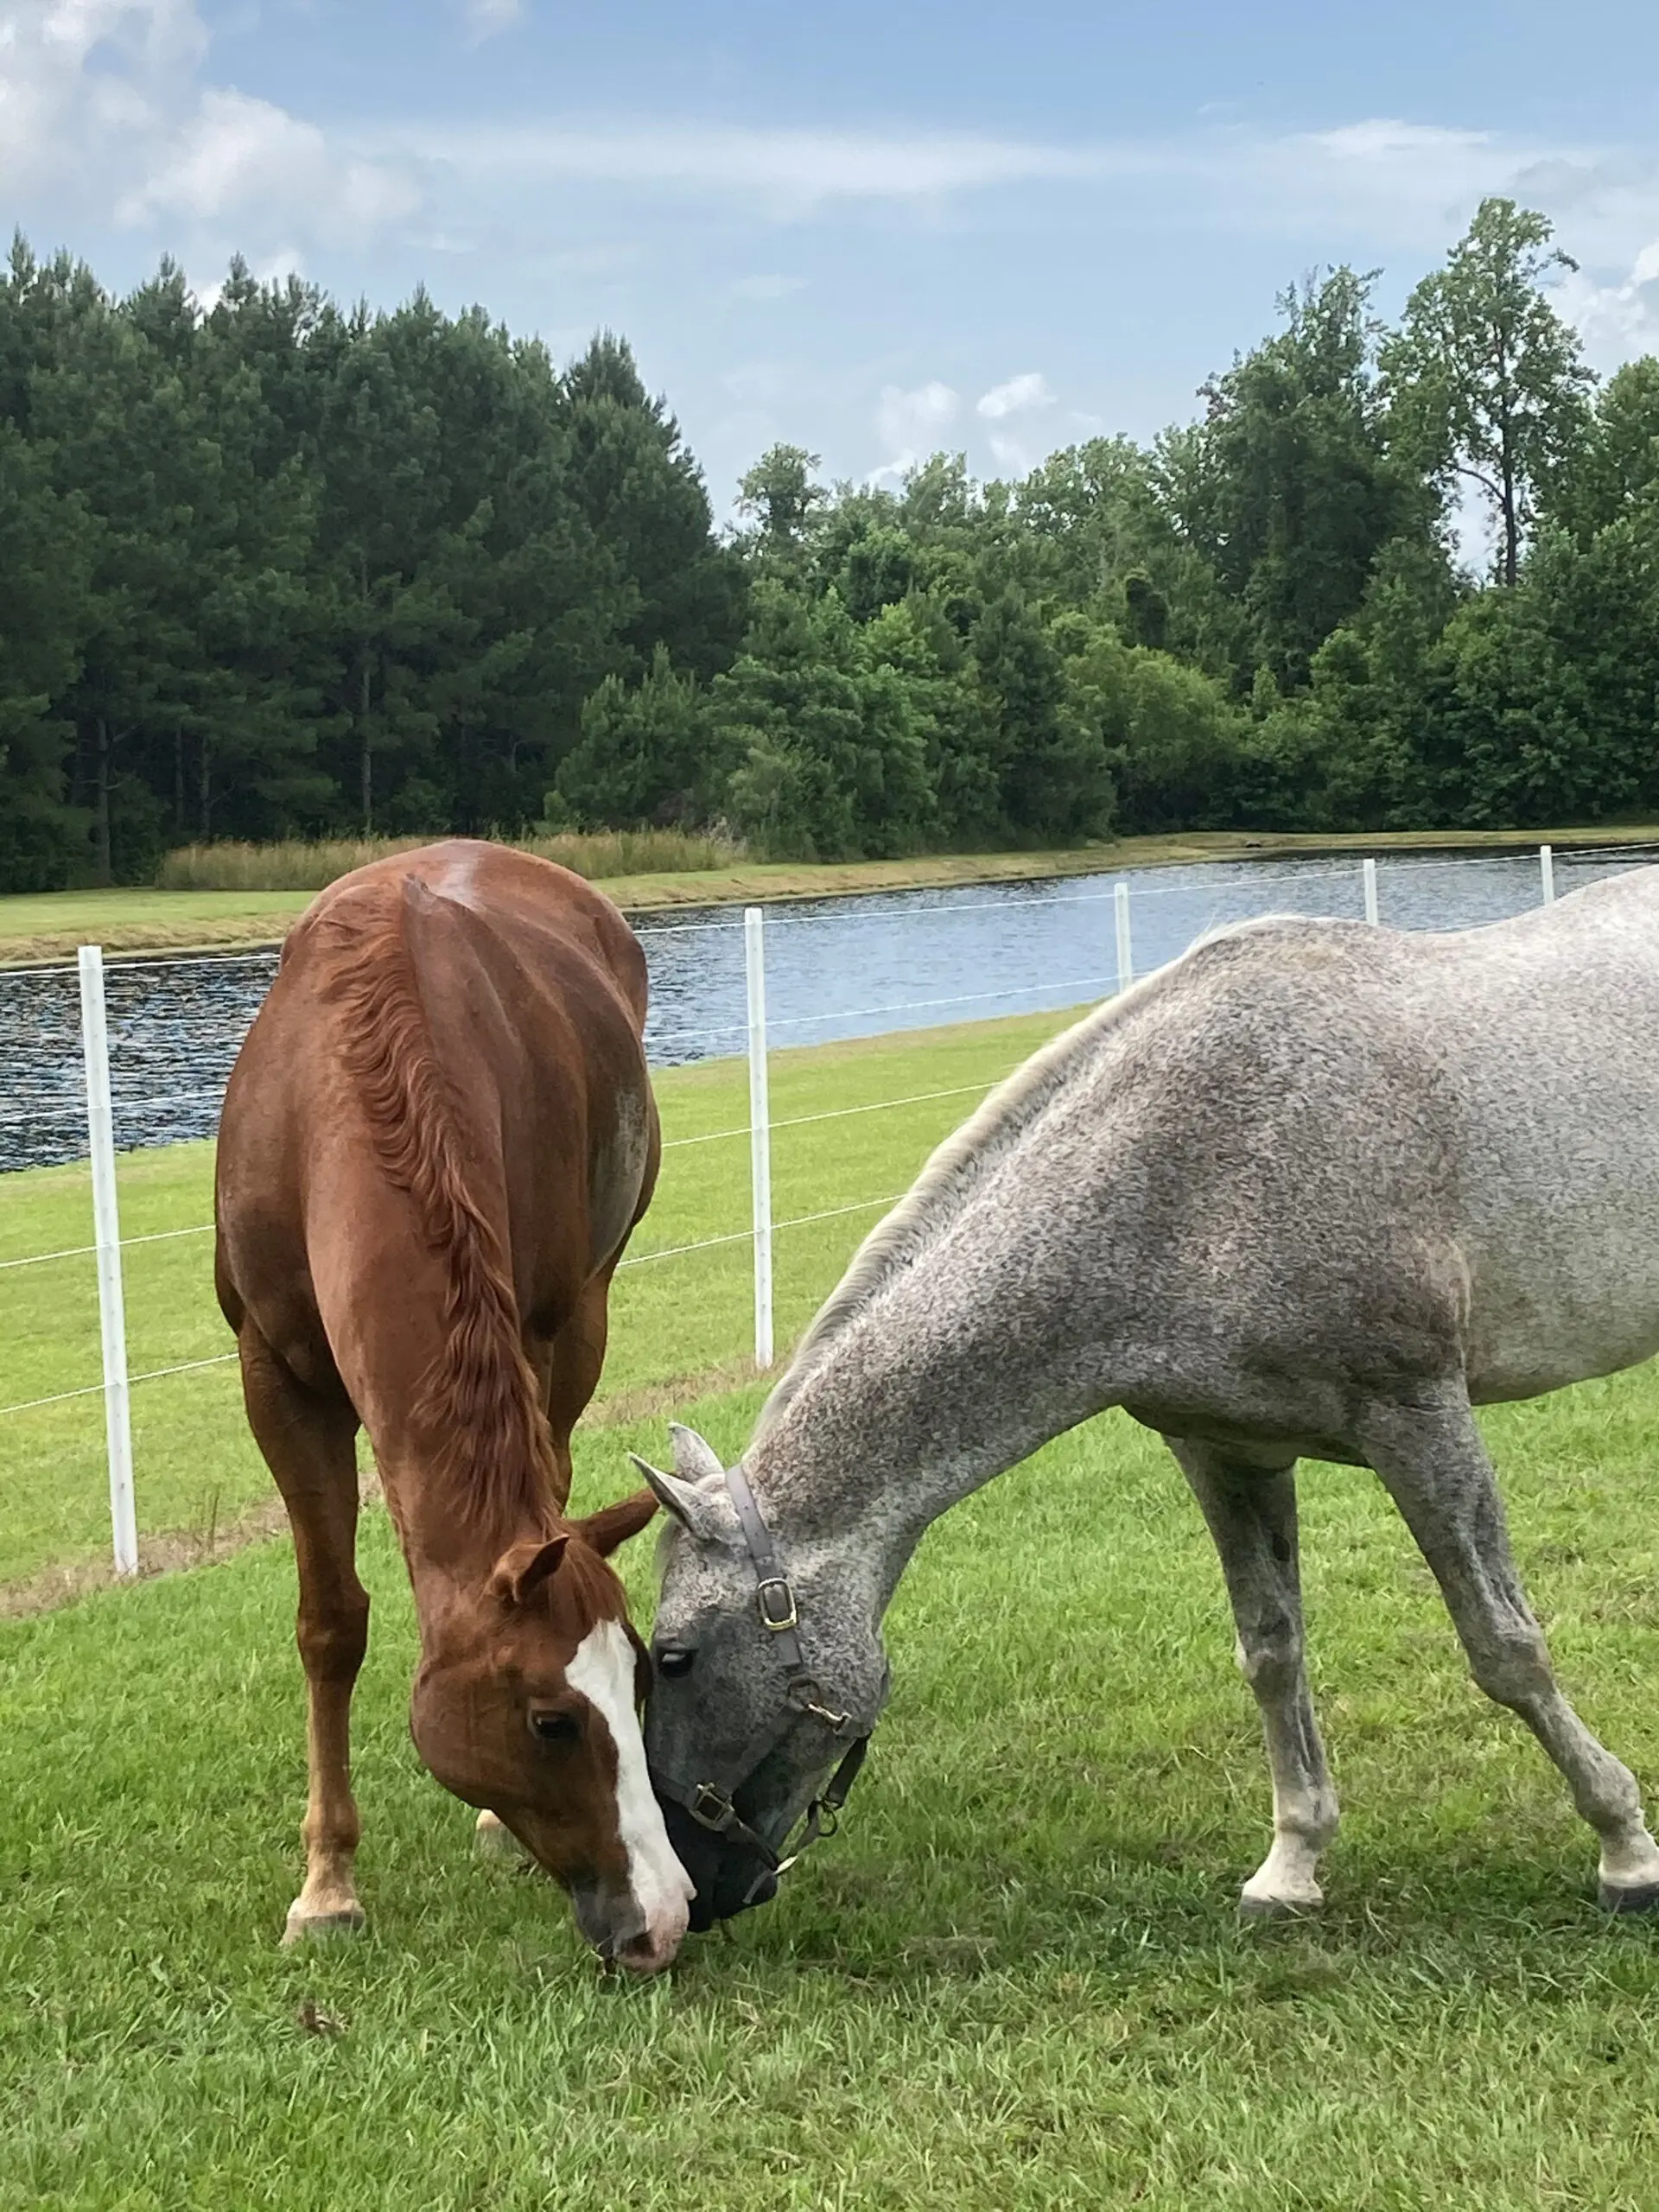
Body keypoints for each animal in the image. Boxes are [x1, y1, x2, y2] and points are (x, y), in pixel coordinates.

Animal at [215, 840, 694, 1973]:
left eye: (642, 1682)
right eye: (551, 1721)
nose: (665, 1922)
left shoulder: (537, 1328)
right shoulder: (276, 1377)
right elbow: (330, 1621)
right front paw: (328, 1885)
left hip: (581, 1321)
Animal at [641, 871, 1659, 1929]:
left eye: (672, 1655)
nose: (694, 1887)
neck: (1195, 1165)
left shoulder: (1417, 1416)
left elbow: (1504, 1645)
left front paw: (1626, 1847)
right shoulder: (1224, 1451)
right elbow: (1272, 1652)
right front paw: (1292, 1863)